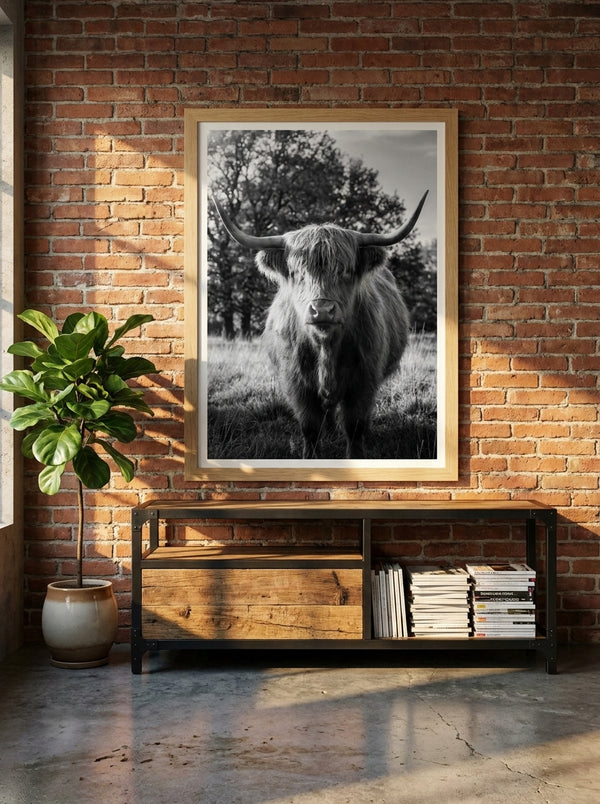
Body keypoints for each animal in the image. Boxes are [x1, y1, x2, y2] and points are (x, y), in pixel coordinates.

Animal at [212, 190, 429, 460]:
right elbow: (310, 426)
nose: (322, 310)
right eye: (297, 273)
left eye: (345, 271)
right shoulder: (297, 383)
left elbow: (355, 426)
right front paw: (311, 456)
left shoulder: (364, 381)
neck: (326, 347)